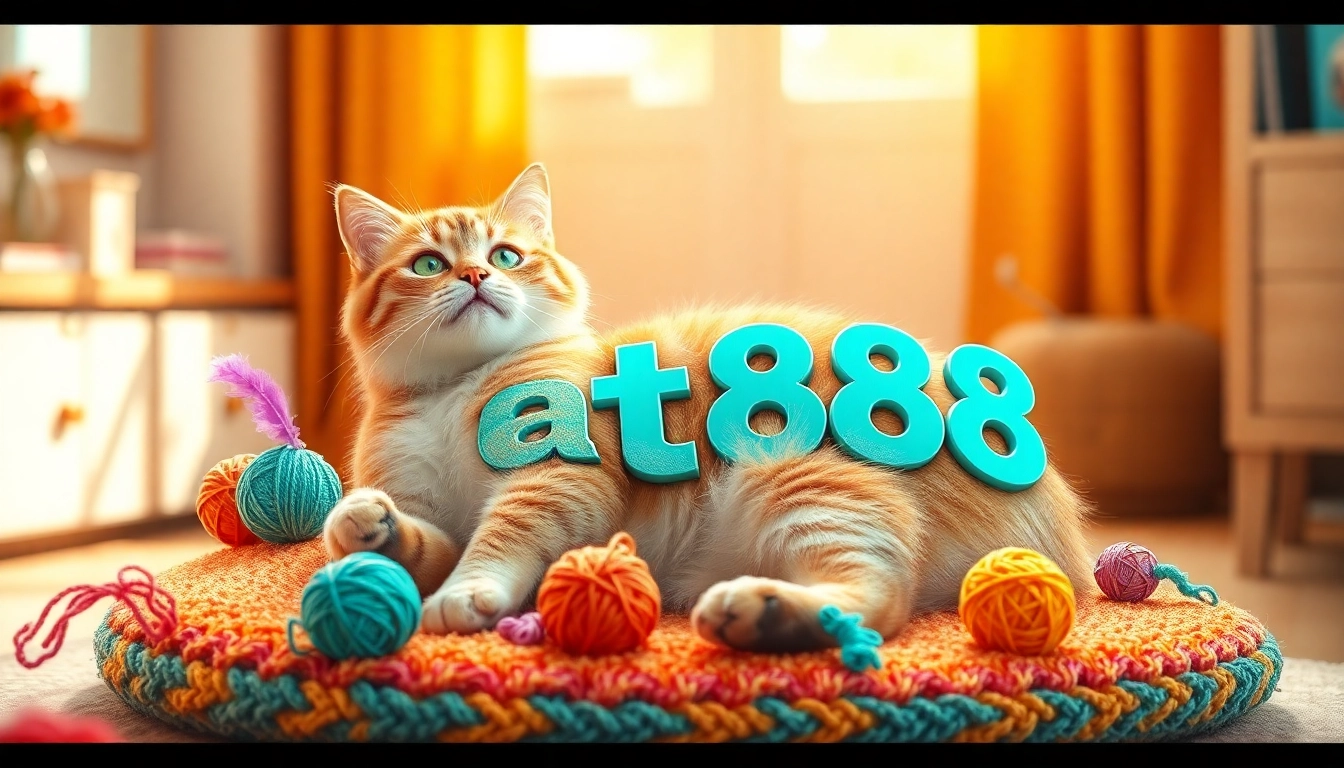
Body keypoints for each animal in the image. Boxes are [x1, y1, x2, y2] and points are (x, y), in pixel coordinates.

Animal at [325, 165, 1091, 650]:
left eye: (508, 255)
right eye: (429, 264)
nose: (478, 274)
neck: (456, 390)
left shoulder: (560, 479)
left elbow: (499, 538)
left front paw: (466, 591)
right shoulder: (427, 504)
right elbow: (419, 541)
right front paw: (367, 525)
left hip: (803, 476)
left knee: (882, 599)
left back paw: (763, 611)